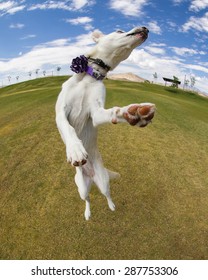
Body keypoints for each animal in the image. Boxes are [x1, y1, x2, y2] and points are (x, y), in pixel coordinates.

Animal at [55, 26, 154, 220]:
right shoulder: (60, 113)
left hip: (104, 181)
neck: (90, 76)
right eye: (119, 30)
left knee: (106, 194)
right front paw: (75, 149)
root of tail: (91, 176)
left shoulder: (96, 113)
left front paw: (133, 113)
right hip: (81, 187)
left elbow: (113, 112)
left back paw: (111, 205)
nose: (146, 28)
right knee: (87, 200)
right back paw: (87, 213)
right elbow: (68, 128)